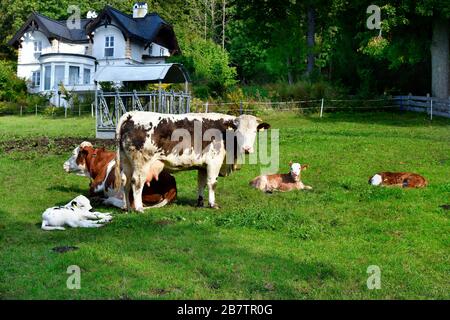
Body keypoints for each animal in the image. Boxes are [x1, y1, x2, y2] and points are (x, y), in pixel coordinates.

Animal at [116, 111, 270, 211]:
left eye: (254, 132)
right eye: (238, 132)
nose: (247, 148)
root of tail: (131, 115)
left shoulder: (202, 166)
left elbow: (201, 183)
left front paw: (200, 202)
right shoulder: (214, 162)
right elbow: (212, 183)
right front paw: (212, 204)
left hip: (126, 161)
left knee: (125, 180)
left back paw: (127, 207)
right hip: (141, 163)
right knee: (137, 182)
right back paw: (139, 208)